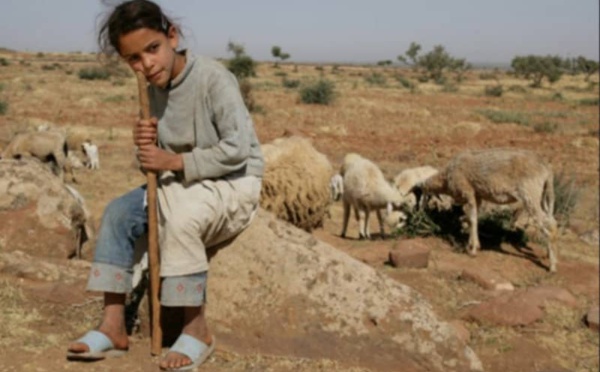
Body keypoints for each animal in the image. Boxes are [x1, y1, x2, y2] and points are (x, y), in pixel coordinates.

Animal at [412, 147, 556, 272]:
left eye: (420, 195)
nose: (417, 213)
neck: (446, 179)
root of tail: (546, 169)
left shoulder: (468, 192)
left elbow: (472, 219)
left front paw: (473, 249)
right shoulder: (478, 196)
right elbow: (472, 218)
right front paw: (470, 240)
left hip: (530, 194)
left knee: (549, 228)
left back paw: (552, 266)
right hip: (542, 196)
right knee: (552, 222)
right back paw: (548, 255)